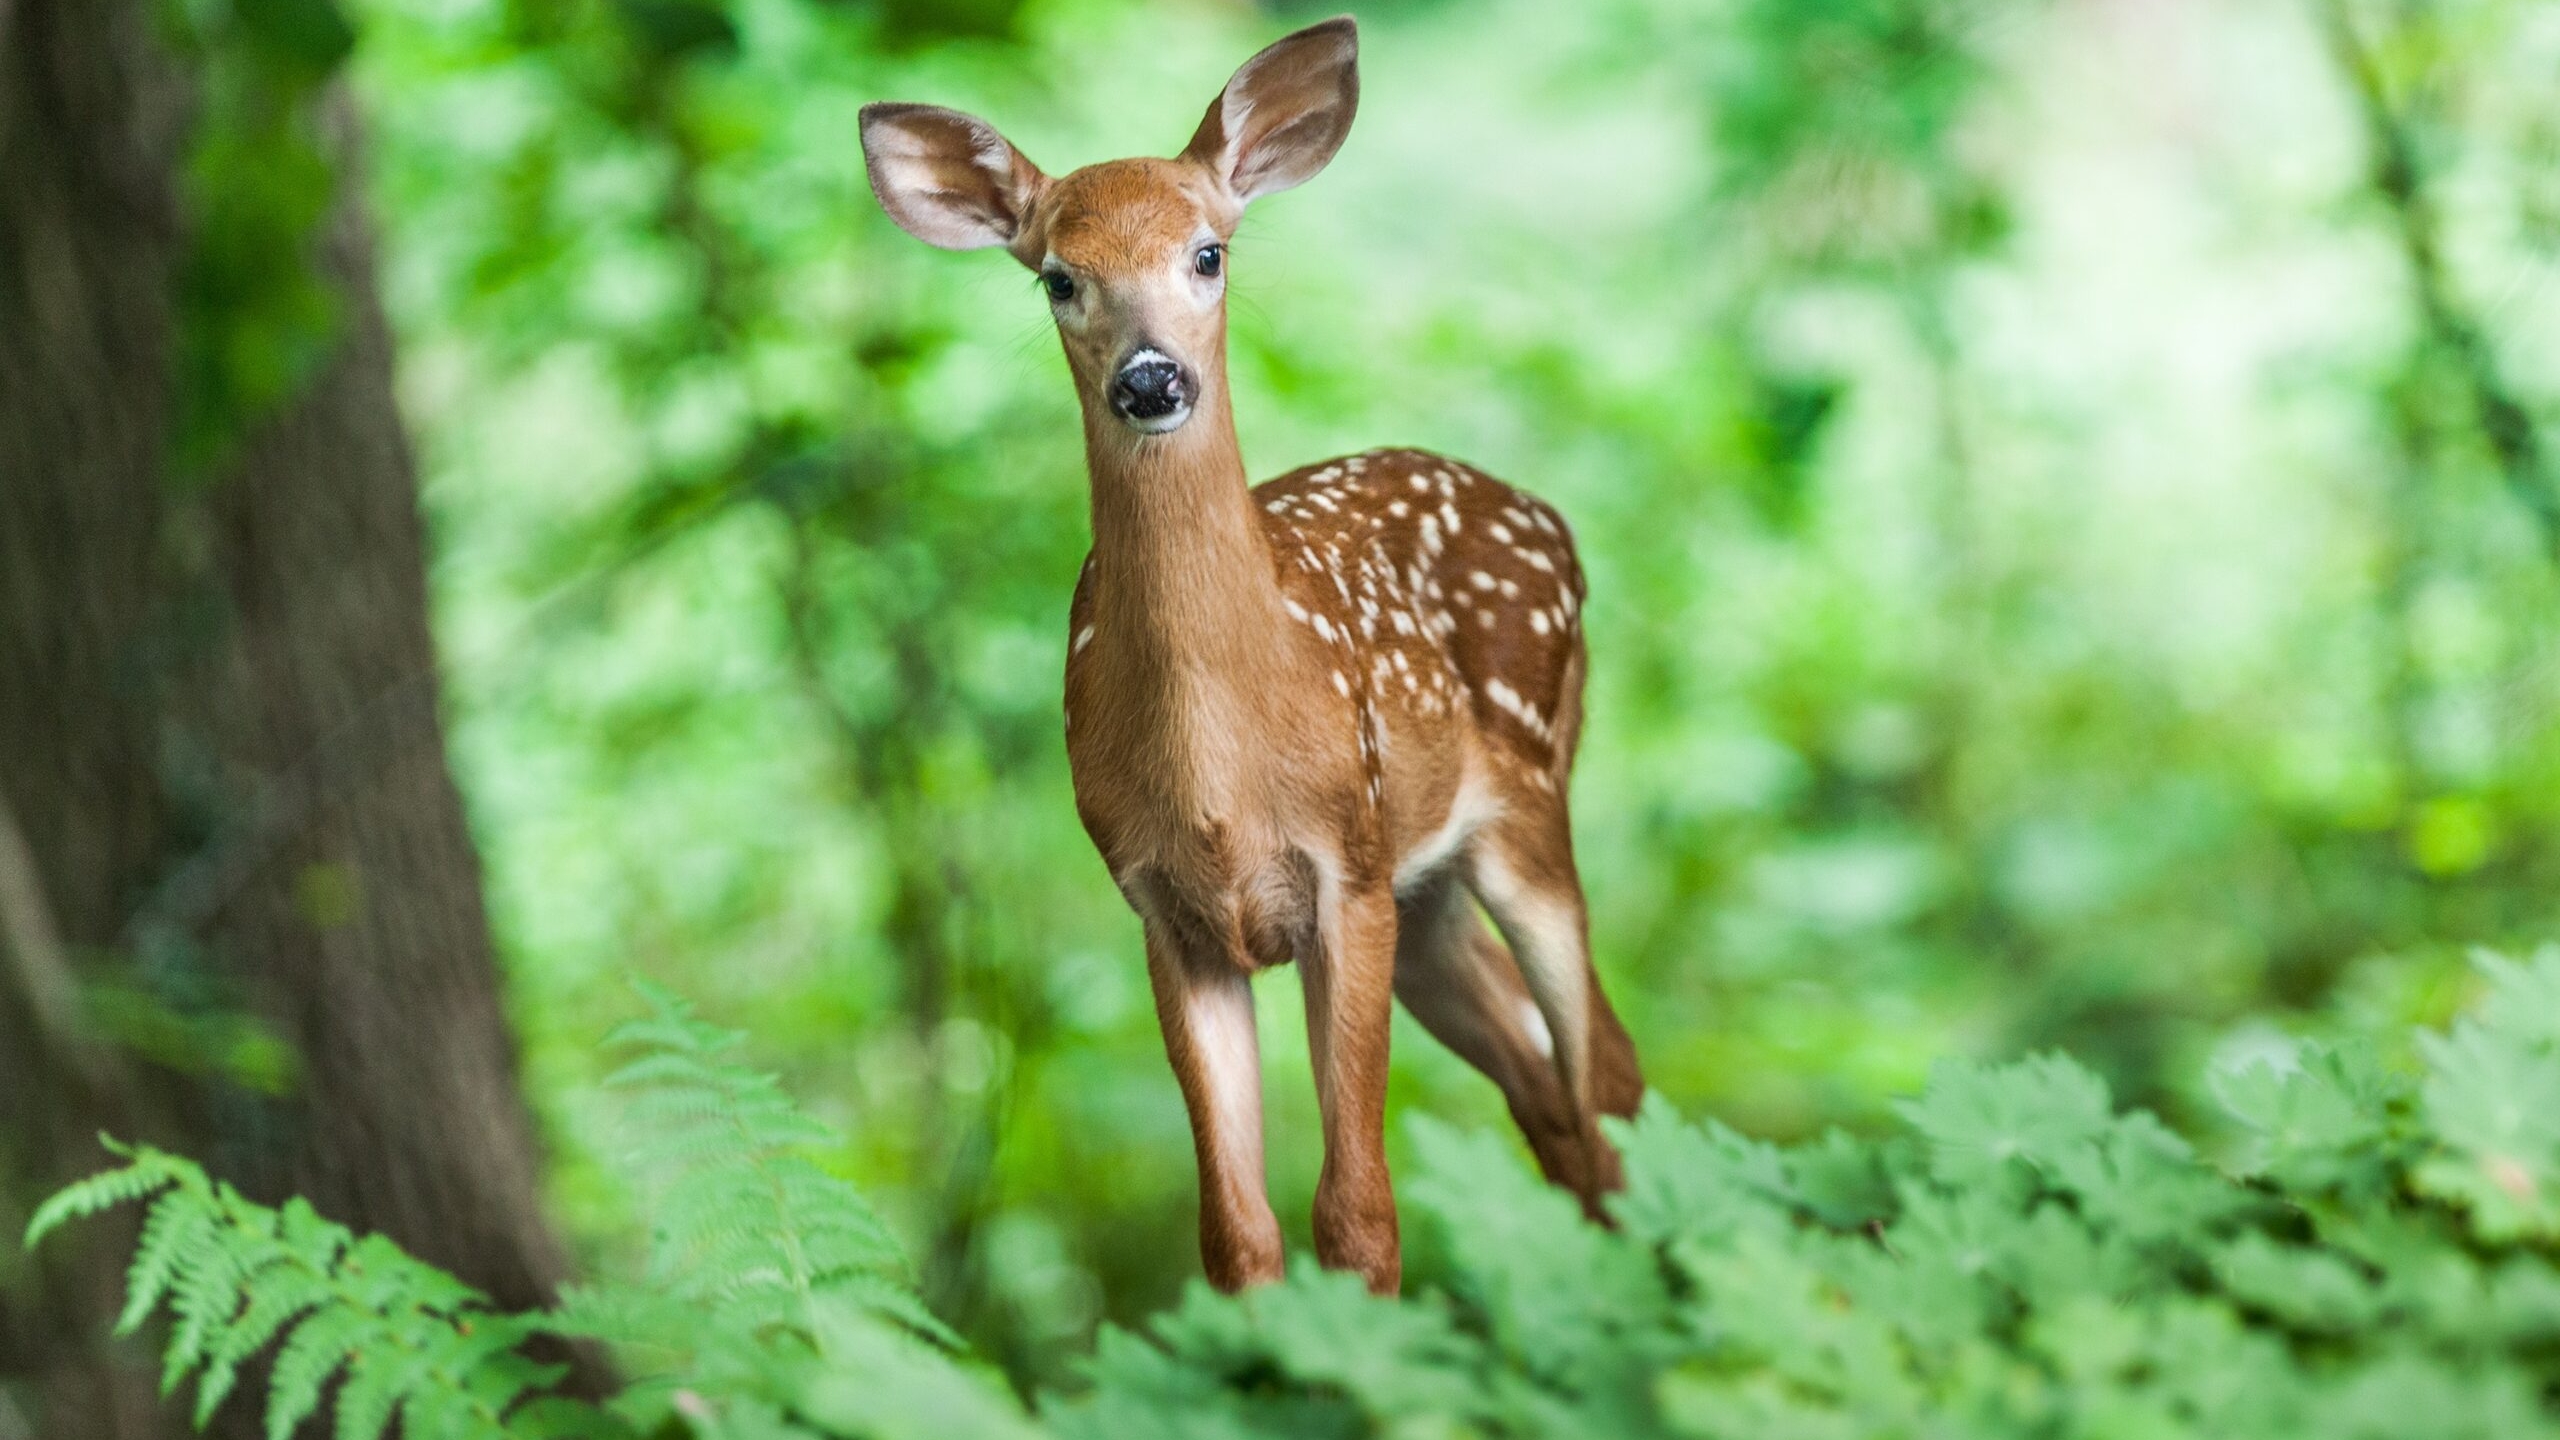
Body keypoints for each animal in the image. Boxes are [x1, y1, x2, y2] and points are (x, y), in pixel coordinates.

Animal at [865, 14, 1638, 1291]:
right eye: (1058, 277)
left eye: (1209, 253)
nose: (1150, 379)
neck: (1221, 770)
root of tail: (1547, 516)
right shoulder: (1165, 912)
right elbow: (1235, 1231)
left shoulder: (1345, 870)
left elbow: (1358, 1212)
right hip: (1428, 893)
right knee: (1548, 1089)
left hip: (1525, 801)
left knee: (1606, 1074)